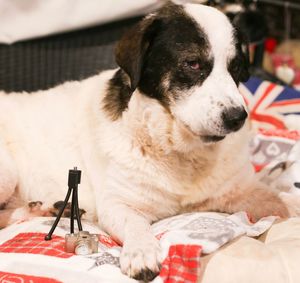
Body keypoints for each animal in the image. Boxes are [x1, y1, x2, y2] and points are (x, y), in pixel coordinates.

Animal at [0, 1, 300, 282]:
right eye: (193, 63)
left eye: (236, 68)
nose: (237, 117)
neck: (180, 150)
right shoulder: (117, 204)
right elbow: (136, 224)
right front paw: (142, 251)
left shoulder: (238, 191)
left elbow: (277, 198)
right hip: (8, 172)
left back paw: (40, 209)